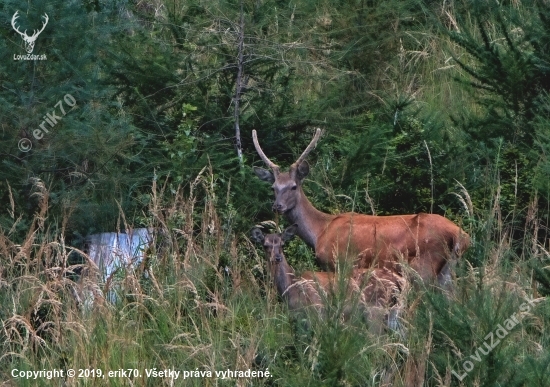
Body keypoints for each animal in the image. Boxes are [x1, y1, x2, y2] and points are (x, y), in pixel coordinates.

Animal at [253, 224, 406, 334]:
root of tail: (399, 282)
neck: (291, 286)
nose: (277, 258)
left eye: (282, 244)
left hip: (375, 309)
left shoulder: (317, 311)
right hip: (393, 313)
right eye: (265, 245)